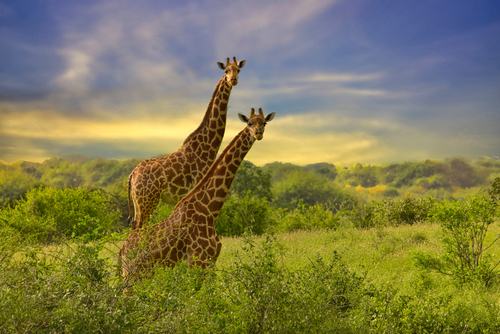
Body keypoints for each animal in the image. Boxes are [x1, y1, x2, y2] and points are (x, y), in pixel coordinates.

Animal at [118, 108, 276, 288]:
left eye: (264, 122)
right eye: (249, 123)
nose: (258, 133)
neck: (209, 210)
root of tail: (122, 251)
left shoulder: (210, 263)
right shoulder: (198, 262)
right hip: (133, 274)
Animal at [127, 56, 246, 230]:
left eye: (238, 70)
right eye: (226, 70)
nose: (233, 80)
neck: (207, 146)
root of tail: (132, 175)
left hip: (138, 202)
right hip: (147, 201)